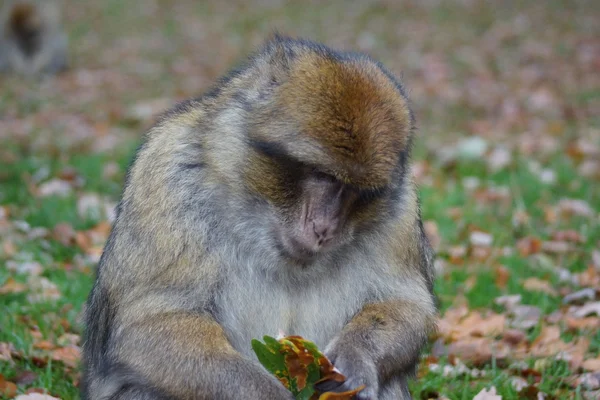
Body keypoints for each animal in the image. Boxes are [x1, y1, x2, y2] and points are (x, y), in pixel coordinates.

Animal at [81, 35, 436, 400]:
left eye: (358, 192)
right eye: (323, 175)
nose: (324, 228)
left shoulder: (402, 211)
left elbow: (407, 305)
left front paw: (355, 357)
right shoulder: (167, 177)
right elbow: (149, 325)